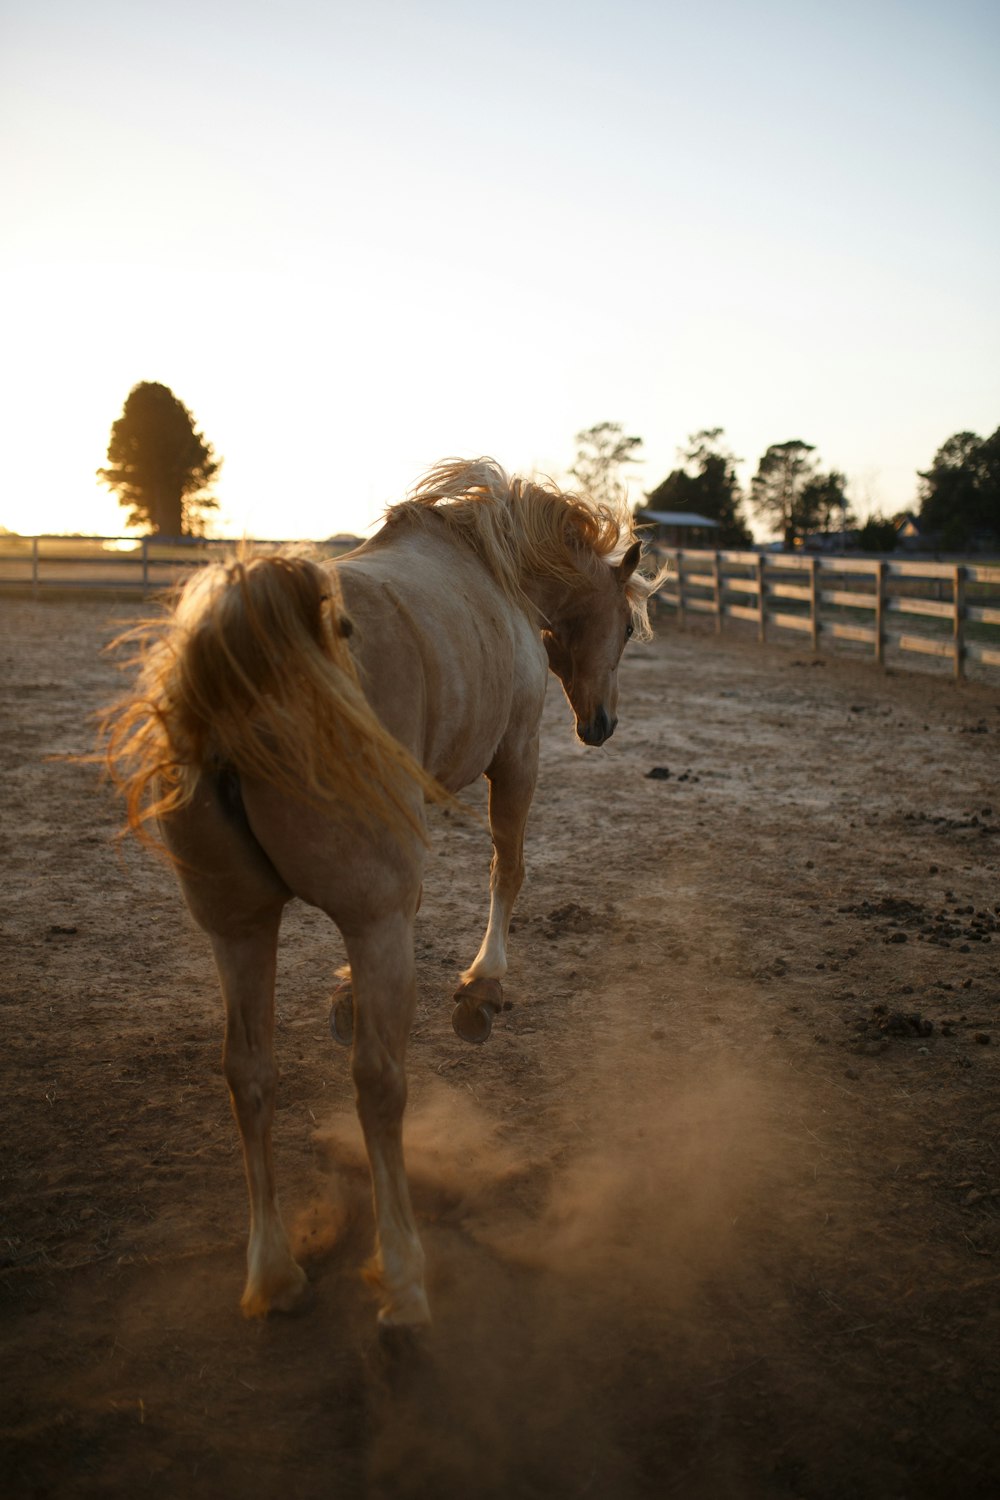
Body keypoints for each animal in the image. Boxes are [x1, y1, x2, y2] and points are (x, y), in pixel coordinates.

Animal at [105, 459, 665, 1338]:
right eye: (630, 630)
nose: (602, 723)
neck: (493, 564)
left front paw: (342, 994)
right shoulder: (517, 756)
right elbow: (508, 868)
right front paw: (483, 986)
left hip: (239, 928)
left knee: (249, 1075)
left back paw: (273, 1273)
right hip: (372, 918)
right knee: (377, 1081)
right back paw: (402, 1277)